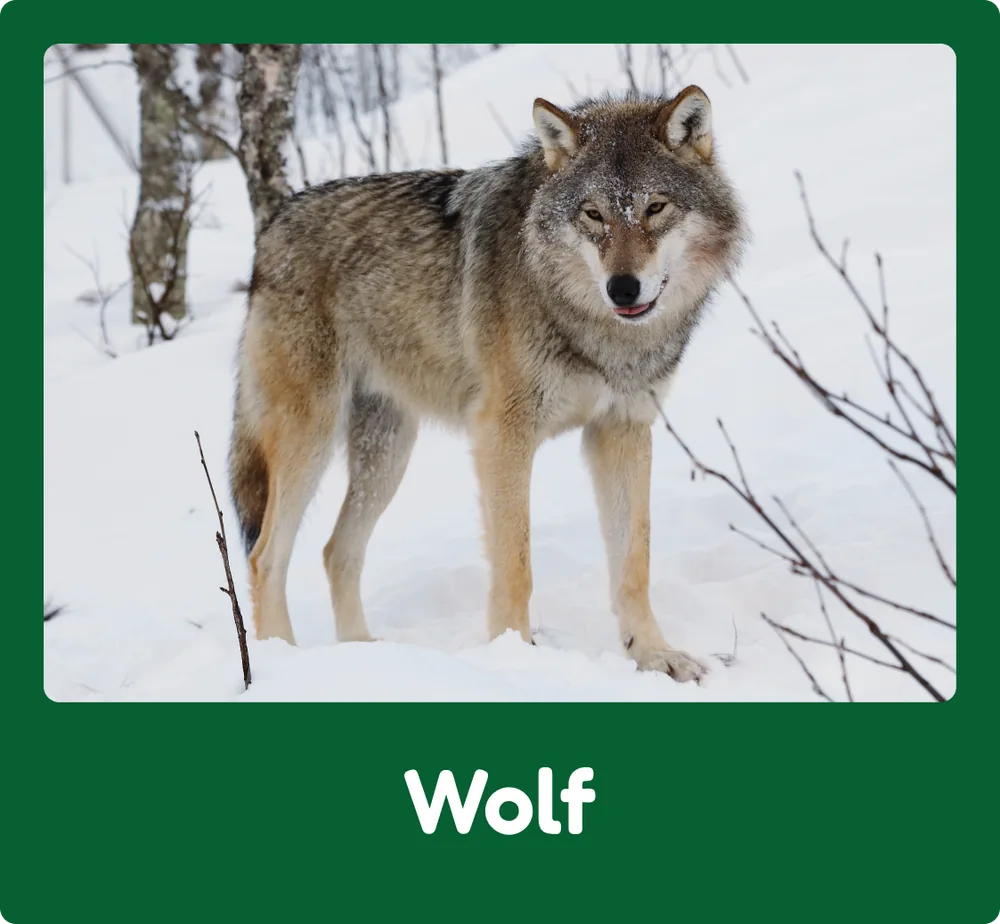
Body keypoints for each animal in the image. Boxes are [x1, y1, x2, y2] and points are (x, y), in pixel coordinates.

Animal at [229, 85, 746, 683]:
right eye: (593, 214)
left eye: (655, 208)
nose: (622, 288)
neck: (593, 328)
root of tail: (272, 225)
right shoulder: (503, 434)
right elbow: (516, 564)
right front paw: (516, 658)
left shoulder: (621, 430)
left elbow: (633, 562)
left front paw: (654, 656)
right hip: (309, 440)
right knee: (266, 555)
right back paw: (281, 662)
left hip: (388, 453)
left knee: (337, 551)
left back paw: (366, 655)